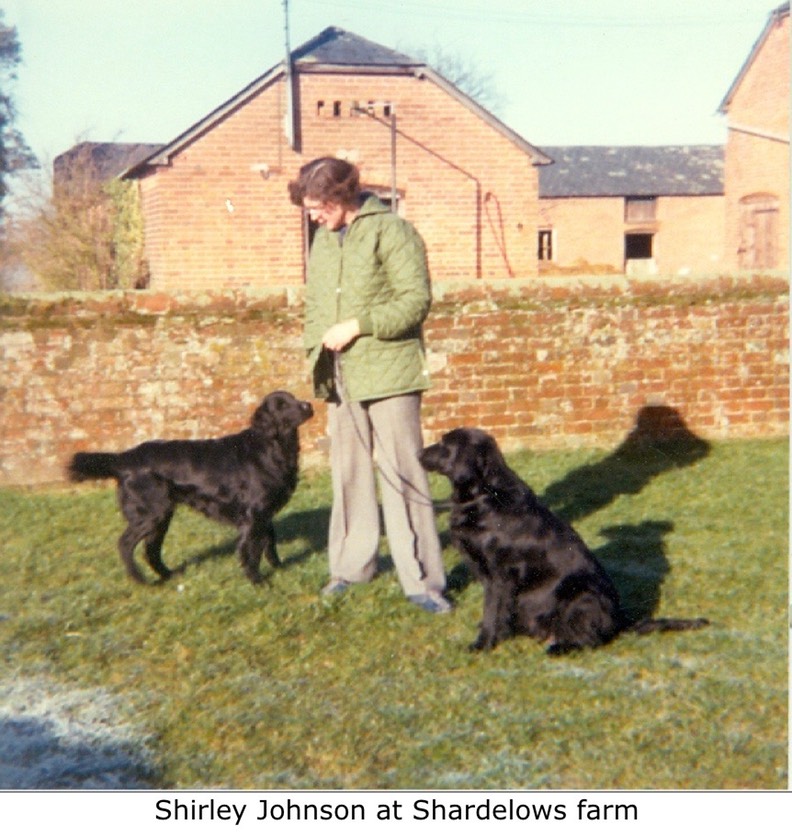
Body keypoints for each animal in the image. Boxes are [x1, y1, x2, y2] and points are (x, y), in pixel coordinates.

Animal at [68, 394, 314, 584]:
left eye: (294, 398)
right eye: (281, 405)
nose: (308, 405)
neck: (271, 446)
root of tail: (124, 457)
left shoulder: (266, 512)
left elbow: (269, 542)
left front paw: (279, 568)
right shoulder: (254, 514)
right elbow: (251, 551)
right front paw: (257, 581)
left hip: (162, 516)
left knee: (151, 550)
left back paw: (168, 575)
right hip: (150, 514)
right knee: (125, 544)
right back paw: (140, 579)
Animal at [418, 428, 708, 656]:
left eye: (444, 444)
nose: (419, 453)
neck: (486, 496)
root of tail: (622, 620)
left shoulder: (500, 575)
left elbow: (492, 611)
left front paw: (482, 644)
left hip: (580, 595)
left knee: (591, 639)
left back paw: (559, 647)